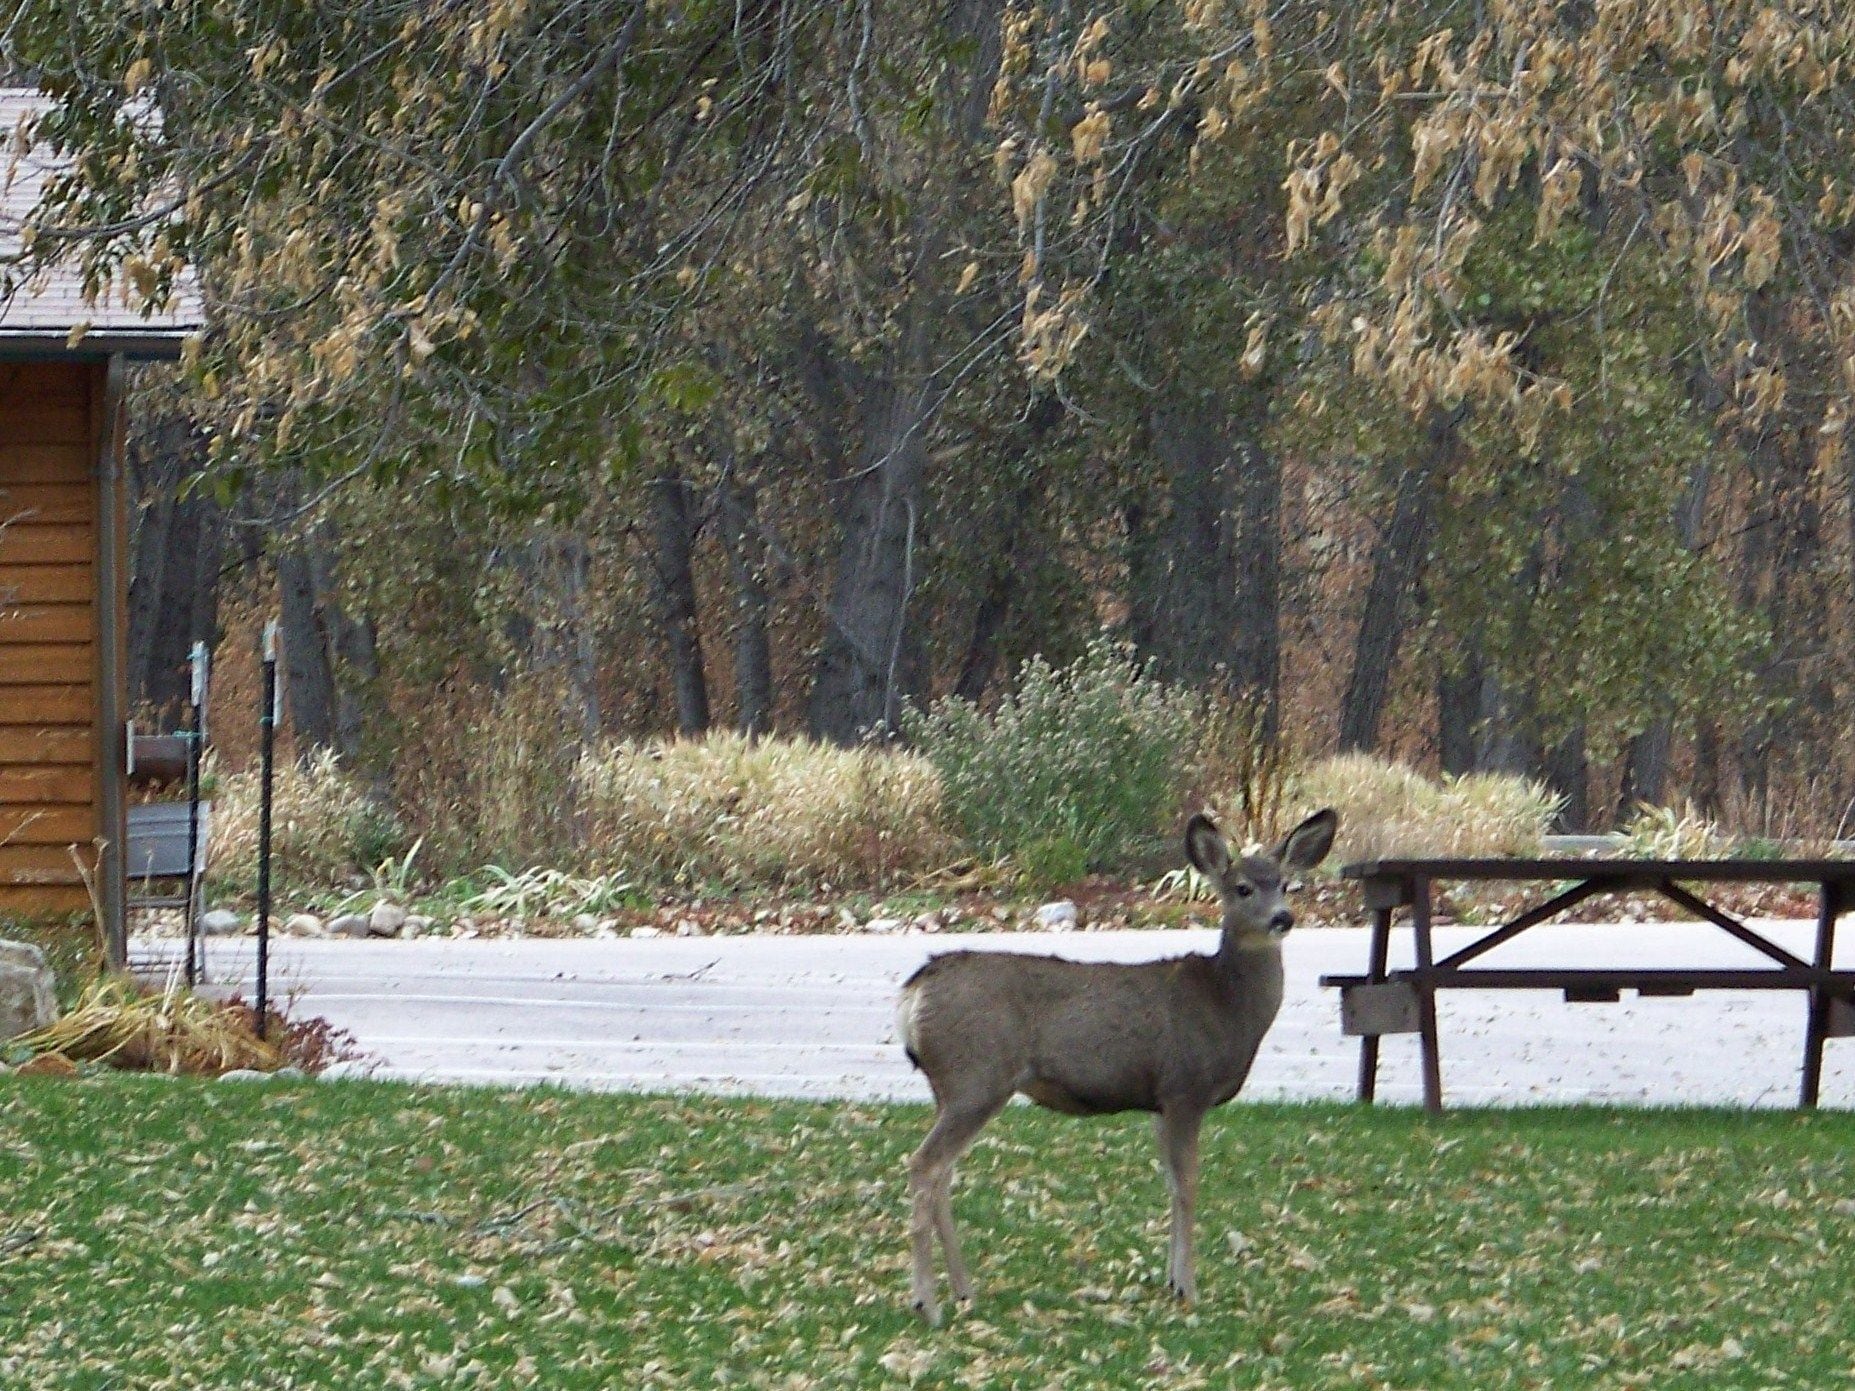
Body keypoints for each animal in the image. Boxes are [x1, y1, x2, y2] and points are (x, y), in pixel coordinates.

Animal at [894, 807, 1337, 1324]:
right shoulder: (1186, 1086)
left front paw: (1171, 1281)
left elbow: (1170, 1183)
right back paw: (927, 1302)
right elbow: (1188, 1184)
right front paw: (1188, 1289)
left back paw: (965, 1291)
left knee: (943, 1173)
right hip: (976, 1078)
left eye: (1287, 884)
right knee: (924, 1165)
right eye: (1243, 887)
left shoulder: (1160, 1102)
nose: (1283, 918)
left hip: (951, 1087)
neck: (1226, 1006)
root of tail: (914, 990)